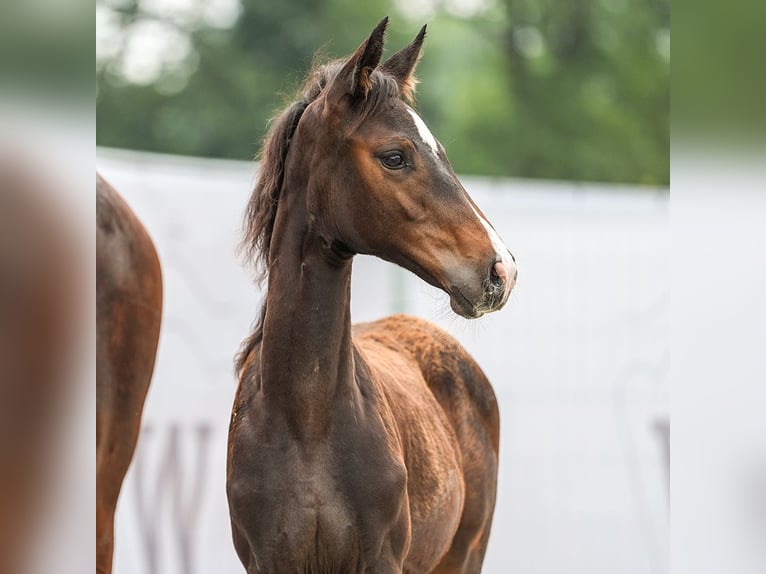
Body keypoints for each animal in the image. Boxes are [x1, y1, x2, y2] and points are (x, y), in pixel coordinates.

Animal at [226, 19, 516, 574]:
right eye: (395, 156)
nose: (501, 270)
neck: (306, 421)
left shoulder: (381, 558)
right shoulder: (266, 560)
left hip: (465, 554)